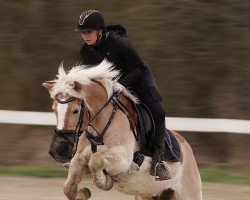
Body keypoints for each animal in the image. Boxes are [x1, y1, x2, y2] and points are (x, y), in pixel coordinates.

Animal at [43, 59, 202, 200]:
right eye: (53, 109)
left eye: (75, 111)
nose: (59, 150)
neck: (99, 127)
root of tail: (187, 148)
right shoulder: (80, 159)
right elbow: (69, 188)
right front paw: (83, 192)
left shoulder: (123, 158)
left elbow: (95, 161)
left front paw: (104, 181)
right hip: (146, 195)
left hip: (189, 193)